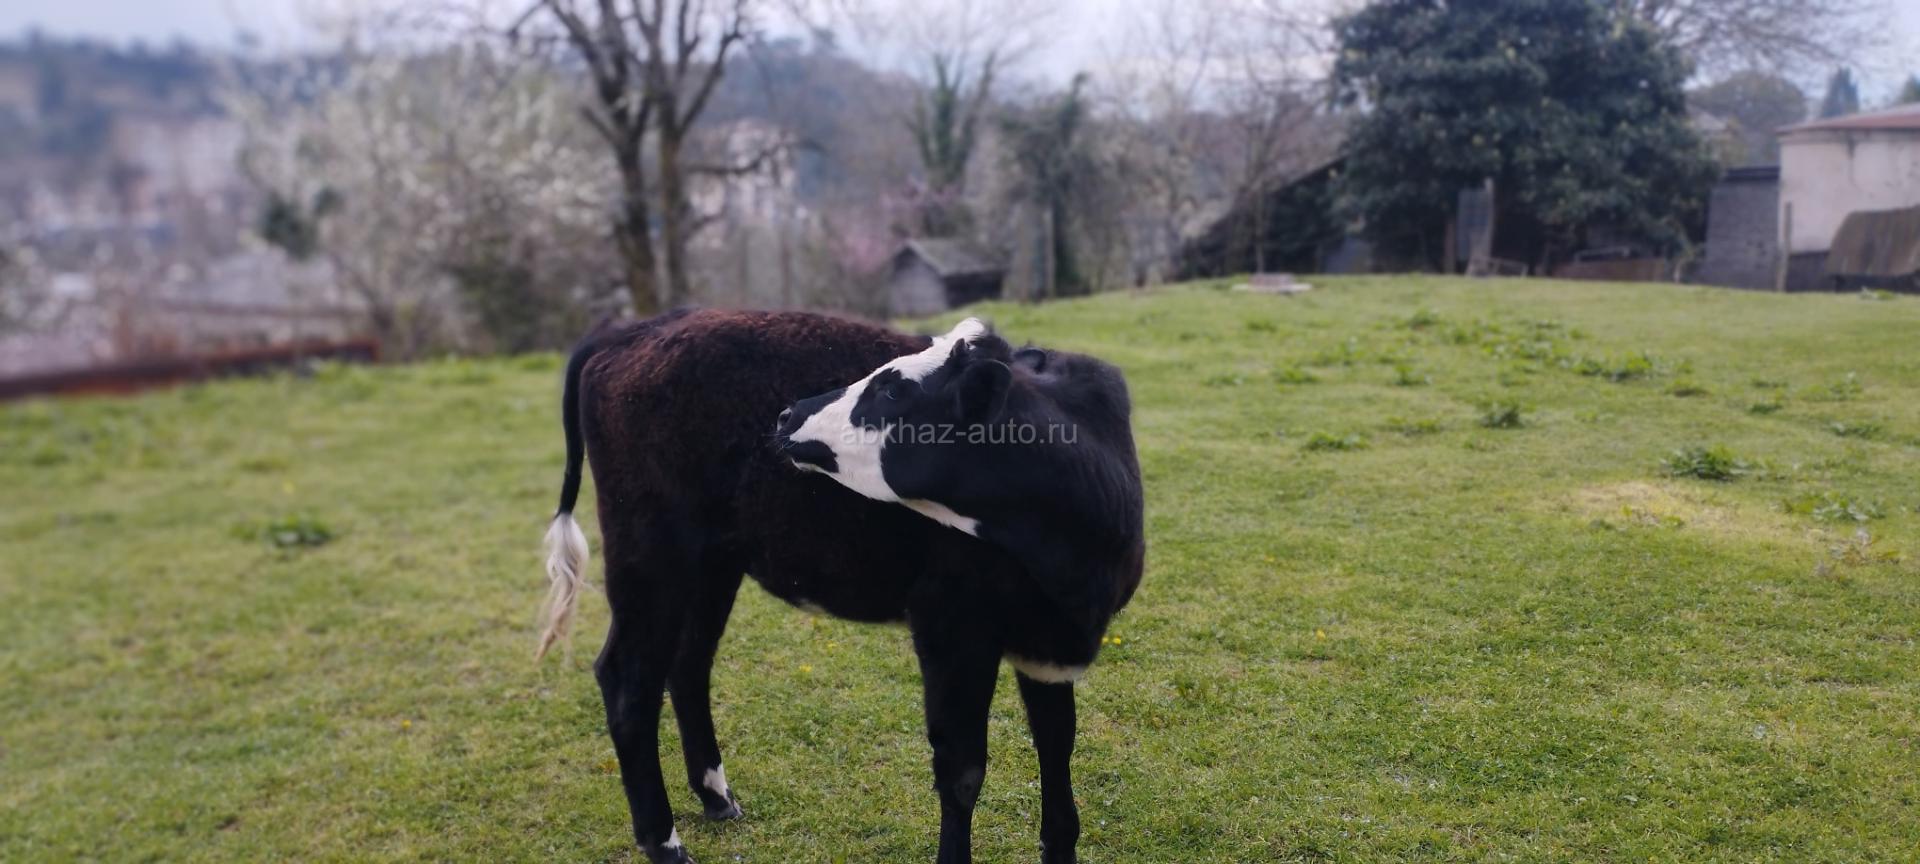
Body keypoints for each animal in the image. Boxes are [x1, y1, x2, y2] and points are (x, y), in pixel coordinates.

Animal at [537, 309, 1144, 864]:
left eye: (892, 390)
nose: (787, 412)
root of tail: (637, 327)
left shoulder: (1048, 646)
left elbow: (1058, 748)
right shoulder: (950, 627)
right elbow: (963, 771)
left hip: (712, 563)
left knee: (687, 666)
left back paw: (715, 797)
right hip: (650, 554)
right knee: (627, 681)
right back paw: (663, 841)